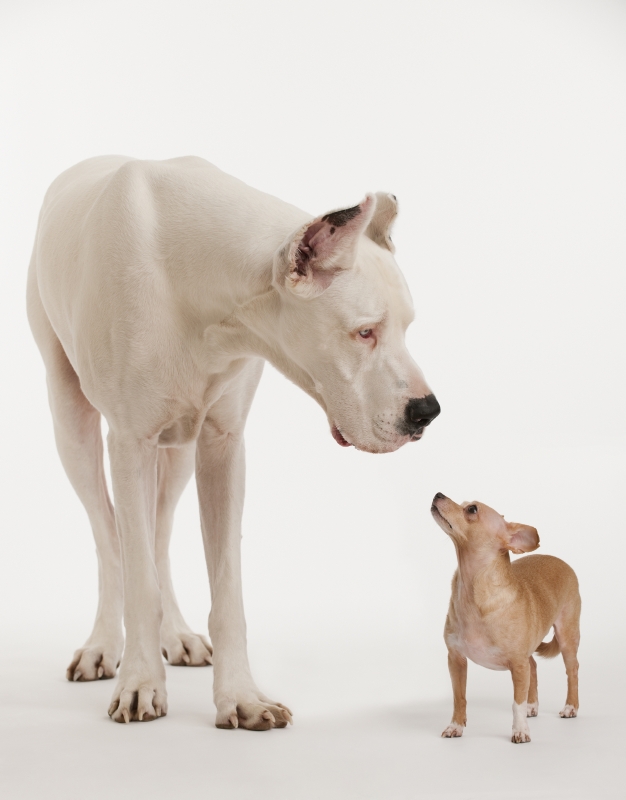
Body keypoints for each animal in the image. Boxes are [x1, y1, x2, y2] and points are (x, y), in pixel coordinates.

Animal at [25, 153, 438, 728]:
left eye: (406, 327)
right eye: (364, 332)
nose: (428, 411)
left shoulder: (222, 445)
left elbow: (225, 587)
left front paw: (241, 697)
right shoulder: (129, 441)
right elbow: (136, 576)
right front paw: (140, 683)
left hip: (178, 451)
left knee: (157, 534)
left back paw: (175, 634)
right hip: (72, 425)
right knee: (111, 539)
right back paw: (105, 645)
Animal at [428, 494, 580, 744]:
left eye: (472, 510)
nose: (438, 494)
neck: (471, 595)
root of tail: (561, 561)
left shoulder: (517, 665)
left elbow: (516, 703)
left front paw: (520, 730)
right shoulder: (456, 660)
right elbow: (459, 698)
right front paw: (456, 726)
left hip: (567, 638)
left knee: (572, 670)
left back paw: (571, 707)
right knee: (534, 666)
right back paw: (532, 706)